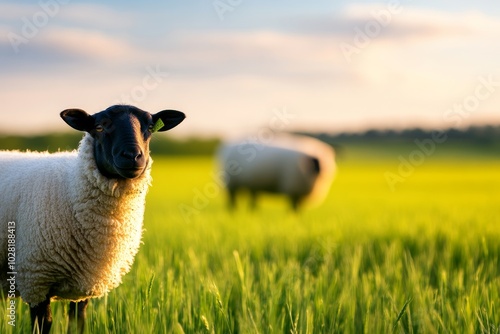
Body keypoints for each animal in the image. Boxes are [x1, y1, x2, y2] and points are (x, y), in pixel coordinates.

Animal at [0, 103, 186, 332]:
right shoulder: (35, 279)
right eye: (99, 127)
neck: (71, 188)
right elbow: (44, 324)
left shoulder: (83, 285)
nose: (133, 156)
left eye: (150, 127)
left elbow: (77, 323)